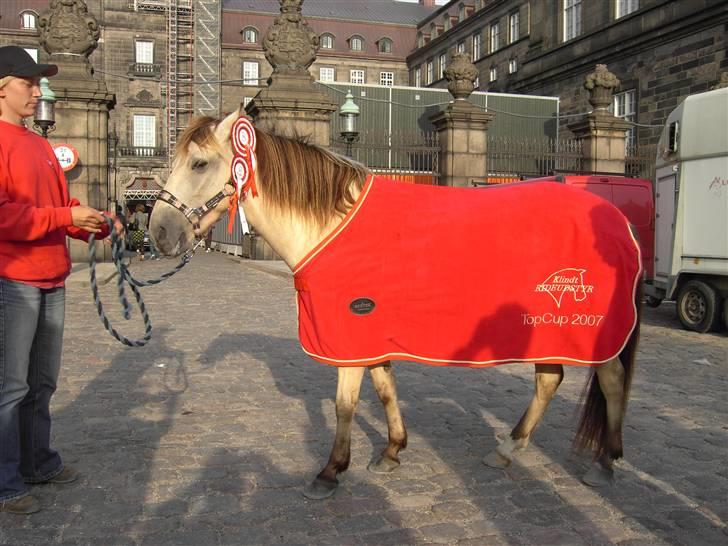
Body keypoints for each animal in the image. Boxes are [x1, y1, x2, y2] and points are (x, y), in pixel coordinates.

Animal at [149, 107, 644, 498]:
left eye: (199, 163)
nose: (159, 233)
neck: (332, 225)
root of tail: (620, 221)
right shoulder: (371, 332)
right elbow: (385, 387)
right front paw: (391, 451)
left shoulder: (349, 335)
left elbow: (345, 404)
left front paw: (330, 471)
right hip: (545, 328)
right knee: (549, 380)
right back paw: (507, 448)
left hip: (590, 330)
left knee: (612, 381)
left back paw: (605, 463)